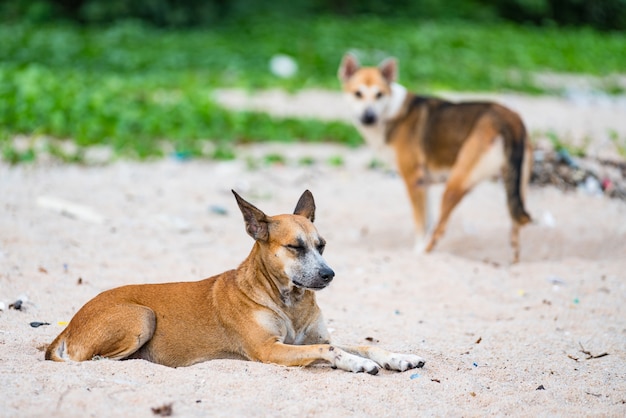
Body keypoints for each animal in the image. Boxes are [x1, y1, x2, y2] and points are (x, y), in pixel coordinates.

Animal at [338, 52, 528, 262]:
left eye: (379, 94)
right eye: (358, 94)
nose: (369, 117)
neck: (392, 113)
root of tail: (510, 119)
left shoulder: (414, 180)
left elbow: (421, 224)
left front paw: (416, 251)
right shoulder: (425, 184)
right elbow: (427, 221)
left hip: (454, 185)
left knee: (440, 229)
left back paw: (424, 253)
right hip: (517, 187)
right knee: (516, 226)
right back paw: (513, 262)